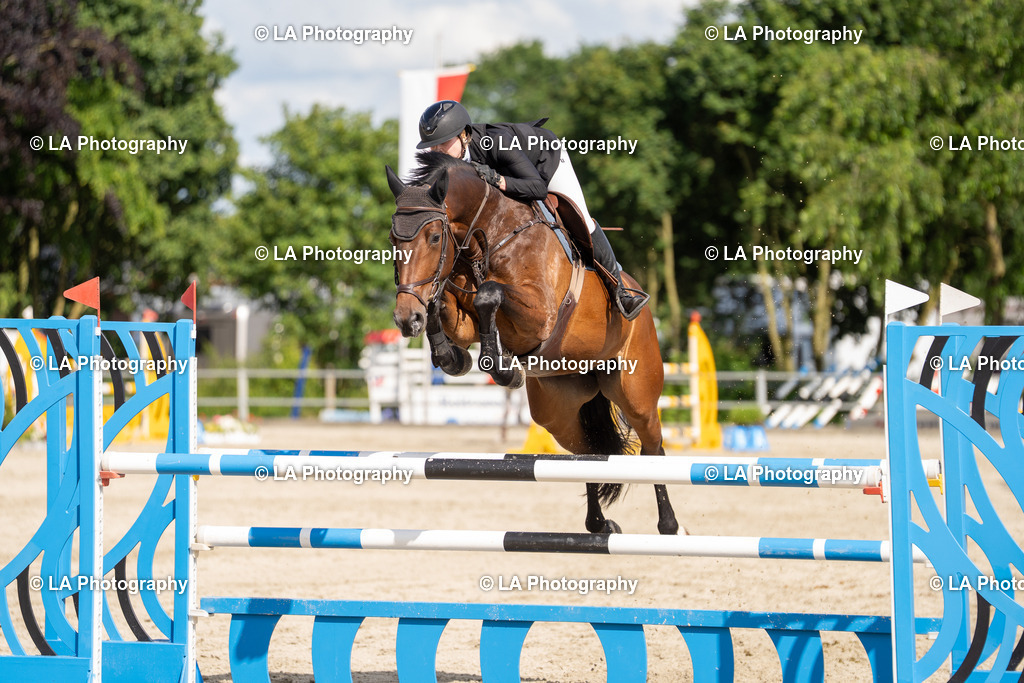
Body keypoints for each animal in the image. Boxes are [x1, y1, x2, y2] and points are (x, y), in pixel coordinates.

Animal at [386, 153, 679, 535]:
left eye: (435, 237)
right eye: (393, 240)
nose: (407, 319)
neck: (489, 234)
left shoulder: (540, 315)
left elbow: (489, 293)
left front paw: (502, 369)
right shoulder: (462, 316)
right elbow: (444, 303)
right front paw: (453, 358)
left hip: (636, 393)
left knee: (653, 447)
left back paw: (669, 526)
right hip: (558, 411)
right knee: (587, 451)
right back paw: (599, 525)